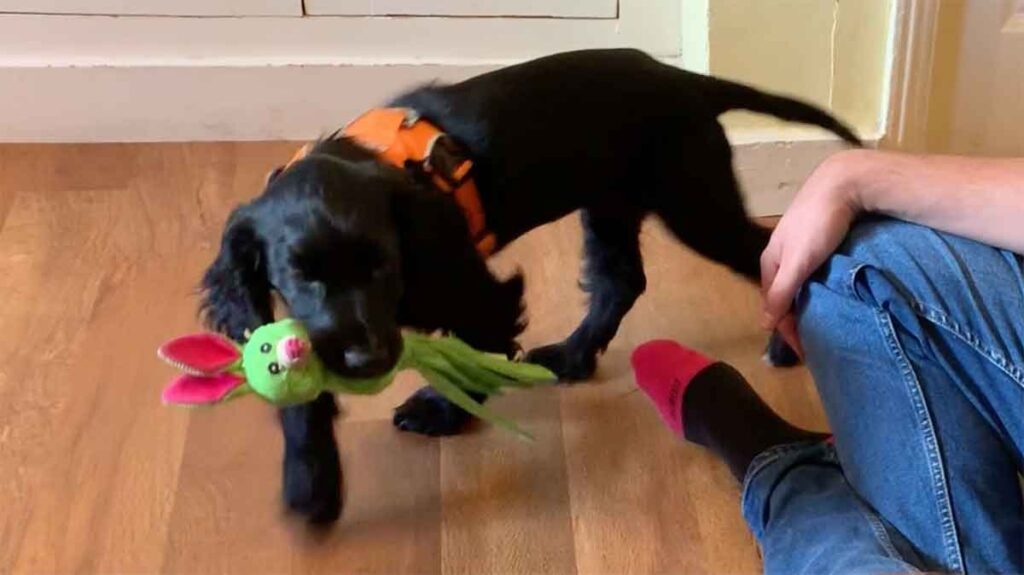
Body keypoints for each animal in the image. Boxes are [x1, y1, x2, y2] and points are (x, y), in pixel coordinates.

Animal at [197, 49, 856, 519]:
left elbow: (476, 351)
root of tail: (687, 80)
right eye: (299, 277)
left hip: (692, 200)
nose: (366, 361)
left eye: (383, 263)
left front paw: (439, 411)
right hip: (613, 203)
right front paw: (311, 481)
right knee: (622, 281)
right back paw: (571, 355)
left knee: (769, 251)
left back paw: (783, 341)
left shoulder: (477, 291)